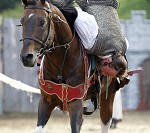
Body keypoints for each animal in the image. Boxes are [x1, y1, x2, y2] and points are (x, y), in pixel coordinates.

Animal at [19, 0, 118, 132]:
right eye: (22, 21)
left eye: (42, 22)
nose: (26, 57)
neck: (61, 66)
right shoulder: (46, 101)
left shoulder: (76, 104)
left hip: (108, 94)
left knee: (105, 121)